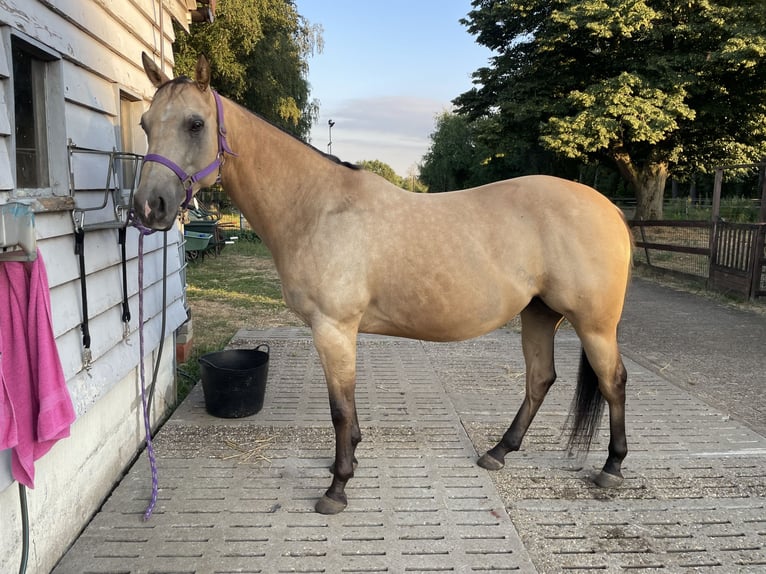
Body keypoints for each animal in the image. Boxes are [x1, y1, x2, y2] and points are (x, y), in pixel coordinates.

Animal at [134, 54, 633, 515]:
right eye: (144, 124)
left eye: (196, 124)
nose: (148, 207)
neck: (317, 207)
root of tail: (609, 207)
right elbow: (348, 411)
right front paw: (350, 461)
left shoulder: (332, 329)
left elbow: (339, 410)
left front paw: (336, 488)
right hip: (539, 313)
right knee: (539, 379)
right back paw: (498, 452)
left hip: (593, 324)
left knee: (613, 382)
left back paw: (611, 467)